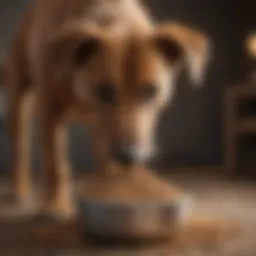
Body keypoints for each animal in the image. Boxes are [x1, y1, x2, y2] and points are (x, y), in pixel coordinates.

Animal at [5, 0, 210, 220]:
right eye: (104, 91)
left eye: (150, 91)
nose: (130, 156)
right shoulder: (49, 111)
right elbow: (55, 164)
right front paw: (55, 205)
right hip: (19, 99)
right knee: (20, 147)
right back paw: (19, 188)